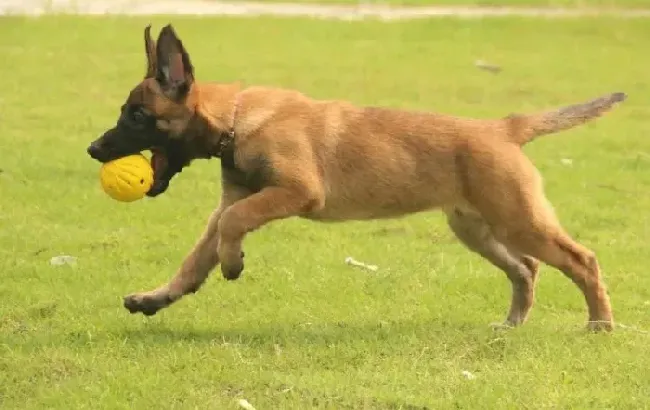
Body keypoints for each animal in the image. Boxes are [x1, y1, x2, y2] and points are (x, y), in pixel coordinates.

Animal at [88, 22, 624, 332]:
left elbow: (235, 224)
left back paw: (599, 324)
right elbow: (200, 252)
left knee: (582, 260)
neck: (237, 119)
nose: (93, 150)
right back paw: (513, 322)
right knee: (526, 268)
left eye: (137, 116)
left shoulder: (294, 191)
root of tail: (502, 128)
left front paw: (233, 262)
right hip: (476, 229)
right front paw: (159, 297)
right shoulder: (230, 202)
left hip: (519, 220)